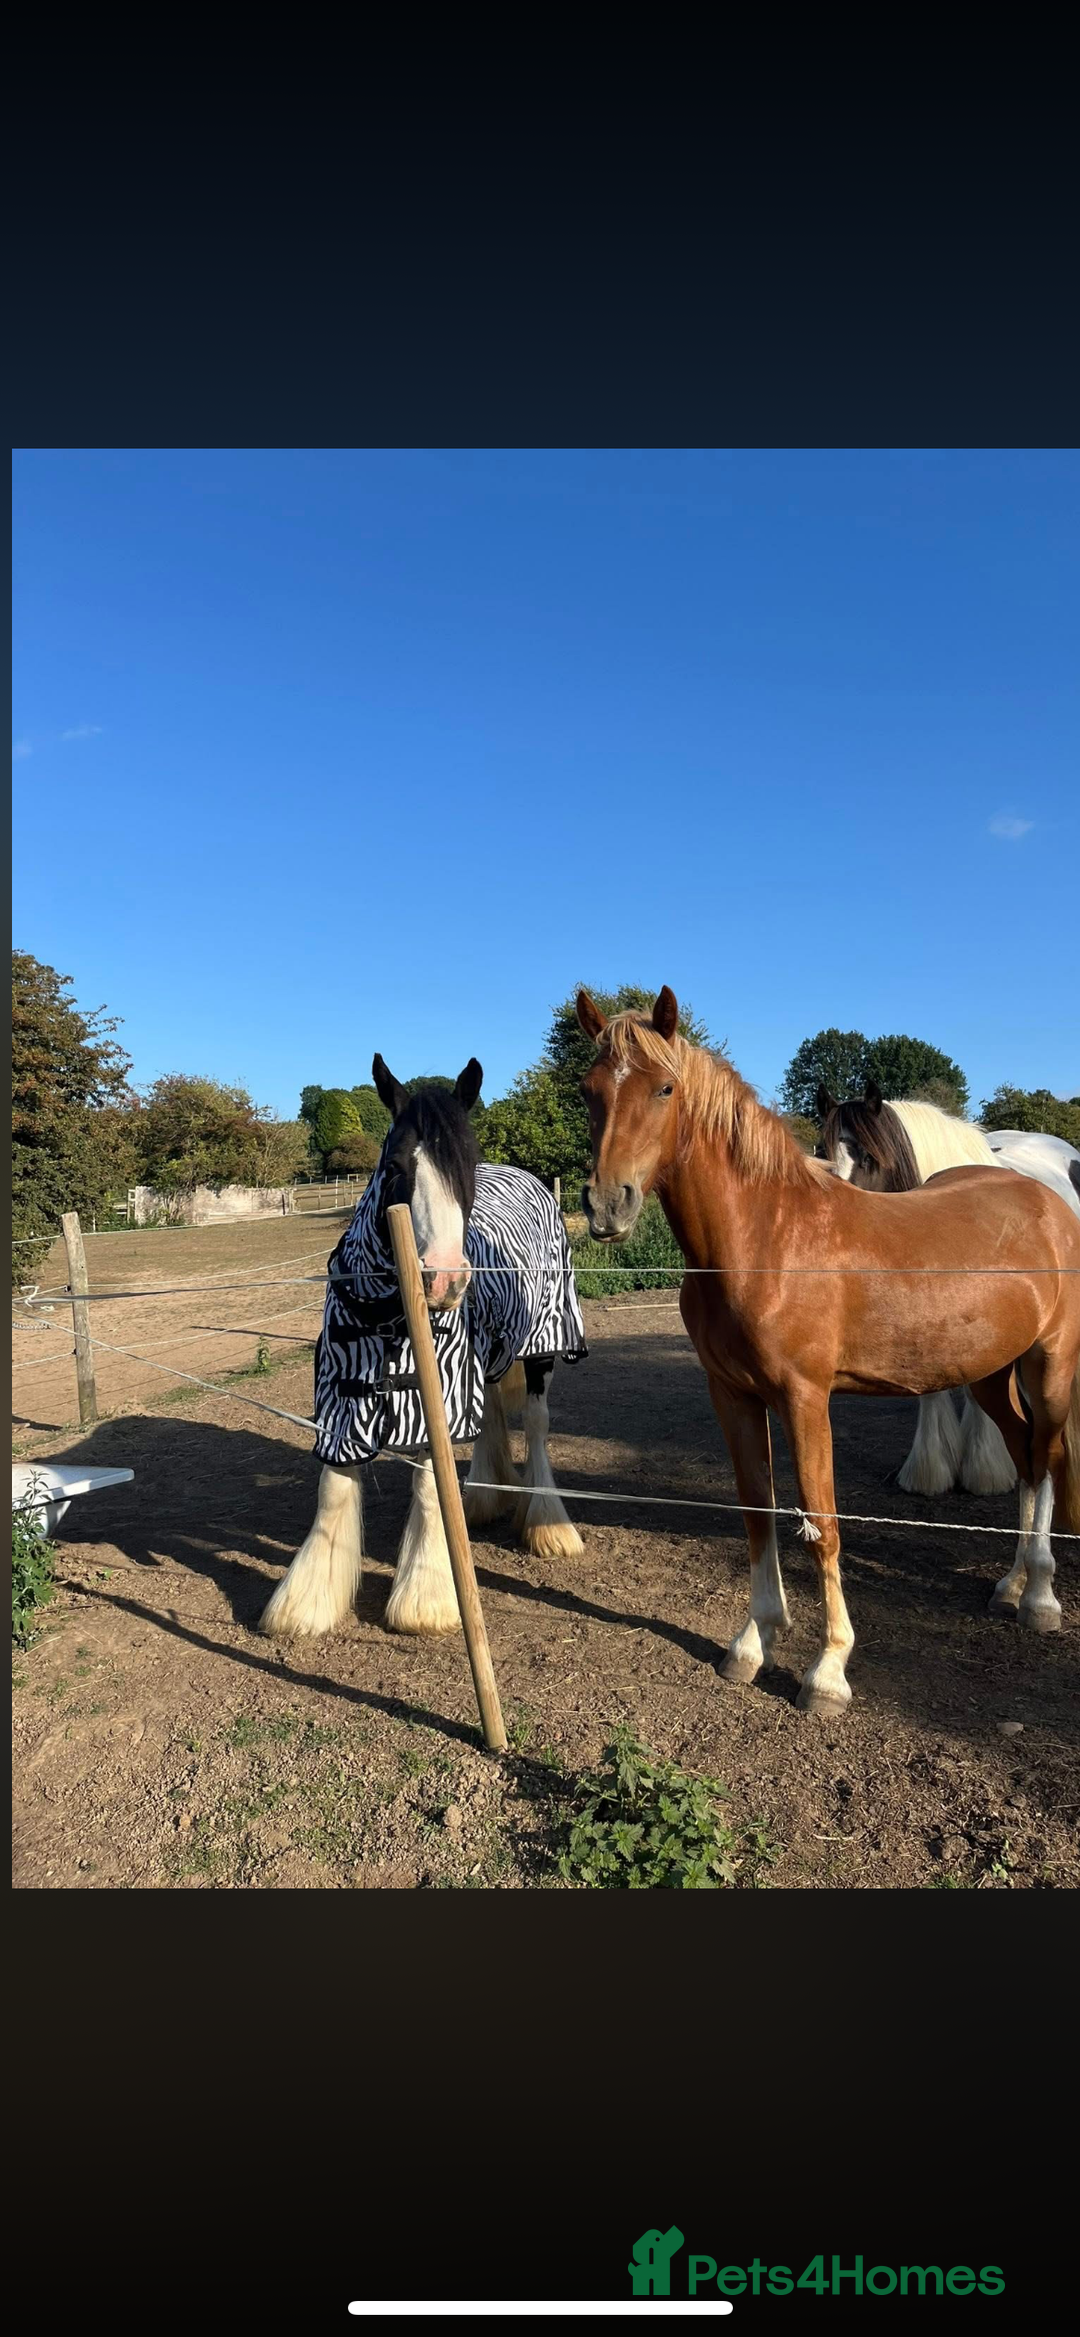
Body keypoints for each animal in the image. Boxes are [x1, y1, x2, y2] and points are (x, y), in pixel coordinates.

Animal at [259, 1054, 587, 1640]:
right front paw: (307, 1602)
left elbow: (431, 1486)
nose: (446, 1280)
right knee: (493, 1415)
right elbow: (333, 1488)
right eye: (394, 1165)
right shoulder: (342, 1397)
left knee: (537, 1424)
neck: (386, 1316)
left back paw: (549, 1526)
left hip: (544, 1347)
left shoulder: (442, 1392)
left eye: (467, 1165)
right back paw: (483, 1498)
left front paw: (426, 1601)